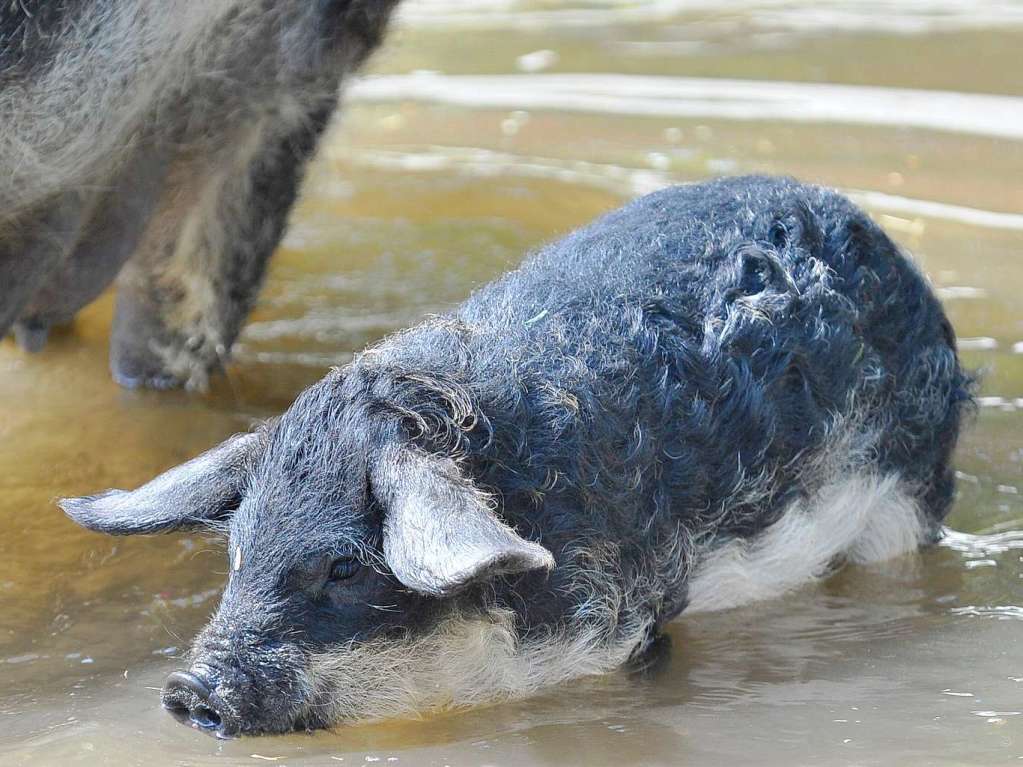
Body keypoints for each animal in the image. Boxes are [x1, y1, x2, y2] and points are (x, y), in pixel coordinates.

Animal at [59, 175, 969, 740]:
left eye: (344, 567)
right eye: (240, 548)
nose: (189, 690)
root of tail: (872, 231)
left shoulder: (615, 623)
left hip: (905, 498)